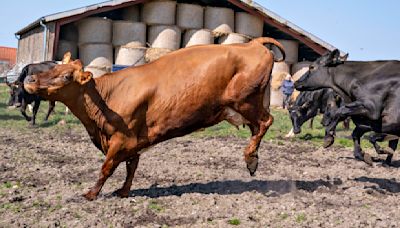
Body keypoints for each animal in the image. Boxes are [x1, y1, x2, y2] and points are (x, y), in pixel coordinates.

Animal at [23, 38, 284, 200]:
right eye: (53, 68)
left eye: (67, 76)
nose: (30, 80)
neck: (107, 97)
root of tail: (251, 43)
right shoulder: (135, 142)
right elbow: (131, 168)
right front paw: (124, 192)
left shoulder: (122, 140)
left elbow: (106, 168)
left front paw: (91, 194)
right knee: (257, 128)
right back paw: (253, 160)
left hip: (246, 101)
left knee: (266, 122)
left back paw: (250, 157)